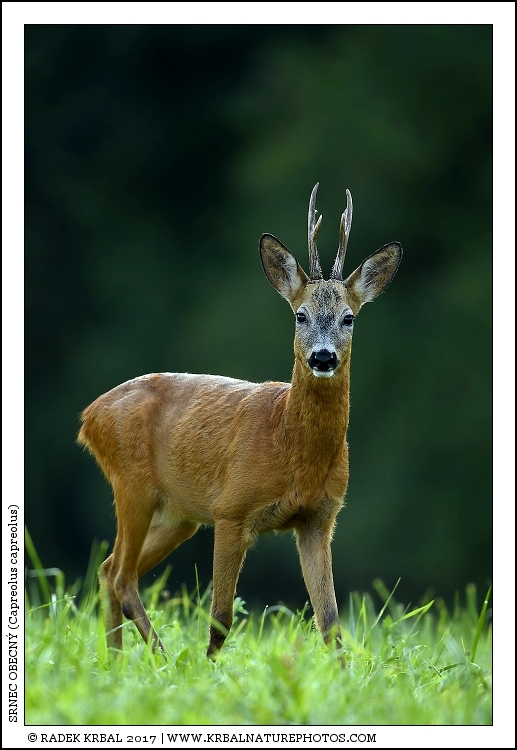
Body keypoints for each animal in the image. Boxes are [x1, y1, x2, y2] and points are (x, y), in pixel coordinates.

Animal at [78, 183, 402, 661]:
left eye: (349, 317)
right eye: (300, 315)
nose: (323, 357)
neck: (290, 444)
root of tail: (90, 415)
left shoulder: (319, 519)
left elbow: (330, 624)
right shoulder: (231, 509)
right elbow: (221, 618)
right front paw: (207, 671)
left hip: (178, 514)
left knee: (108, 568)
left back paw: (116, 661)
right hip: (131, 485)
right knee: (121, 573)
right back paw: (162, 660)